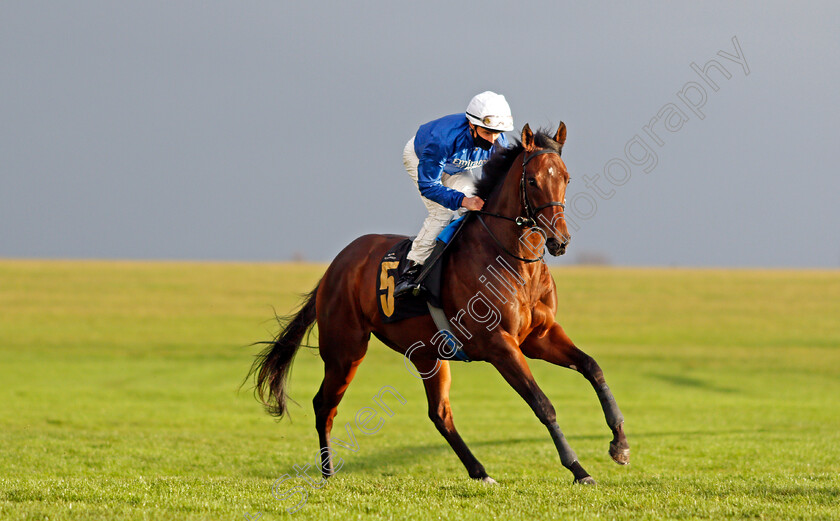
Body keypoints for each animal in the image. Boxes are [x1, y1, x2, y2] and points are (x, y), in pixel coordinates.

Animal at [249, 122, 632, 484]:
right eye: (533, 180)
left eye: (565, 177)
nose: (559, 240)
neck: (512, 260)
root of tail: (335, 266)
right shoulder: (499, 344)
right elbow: (543, 404)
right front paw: (578, 469)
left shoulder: (539, 335)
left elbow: (592, 367)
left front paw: (620, 444)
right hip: (346, 348)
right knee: (325, 405)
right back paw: (328, 473)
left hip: (426, 354)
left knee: (439, 415)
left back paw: (480, 471)